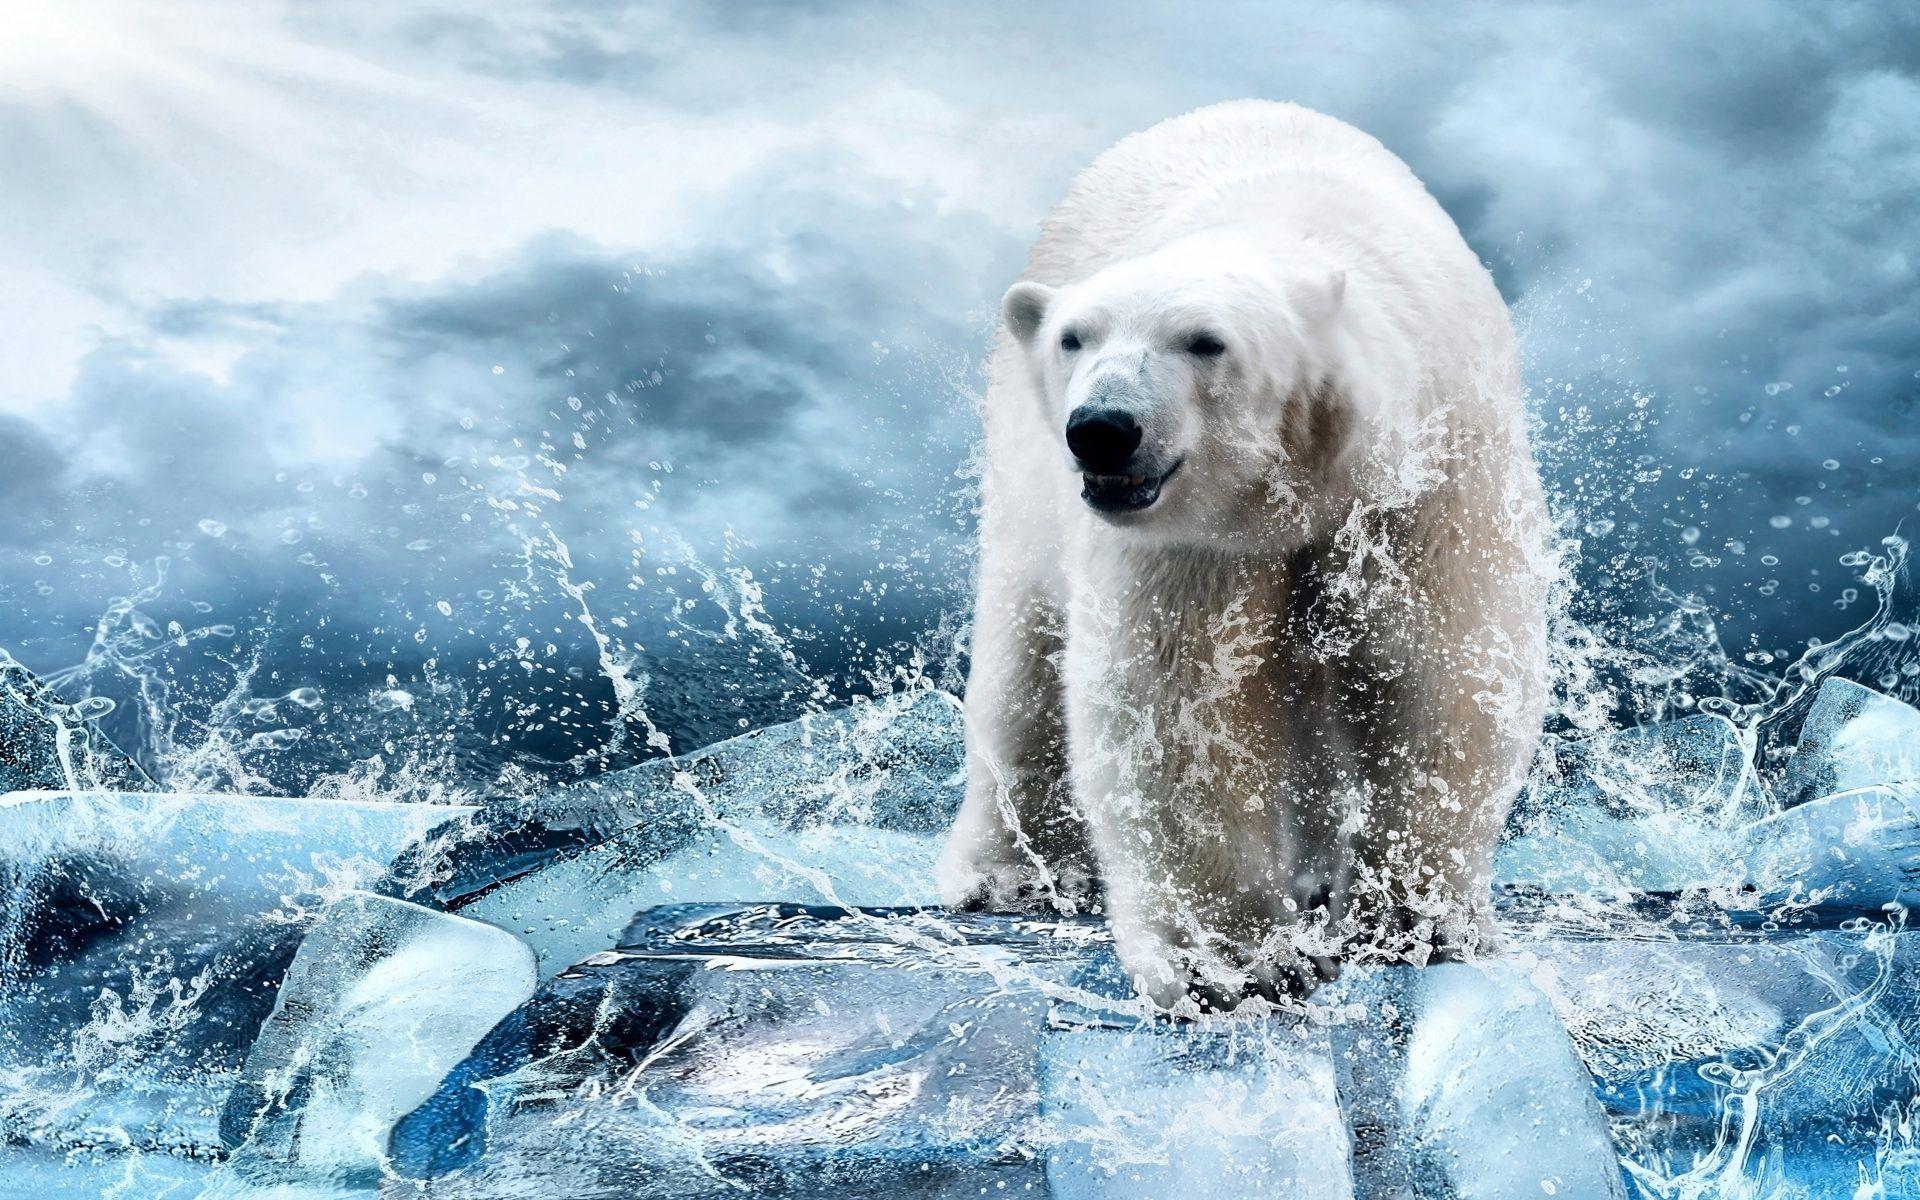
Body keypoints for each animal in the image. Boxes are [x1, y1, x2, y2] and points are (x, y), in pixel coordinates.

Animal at [935, 100, 1551, 1014]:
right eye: (1075, 337)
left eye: (1204, 341)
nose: (1103, 428)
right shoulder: (1190, 538)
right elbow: (1178, 702)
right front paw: (1238, 962)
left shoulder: (1431, 474)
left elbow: (1442, 666)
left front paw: (1413, 920)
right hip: (1022, 476)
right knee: (1025, 660)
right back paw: (1015, 873)